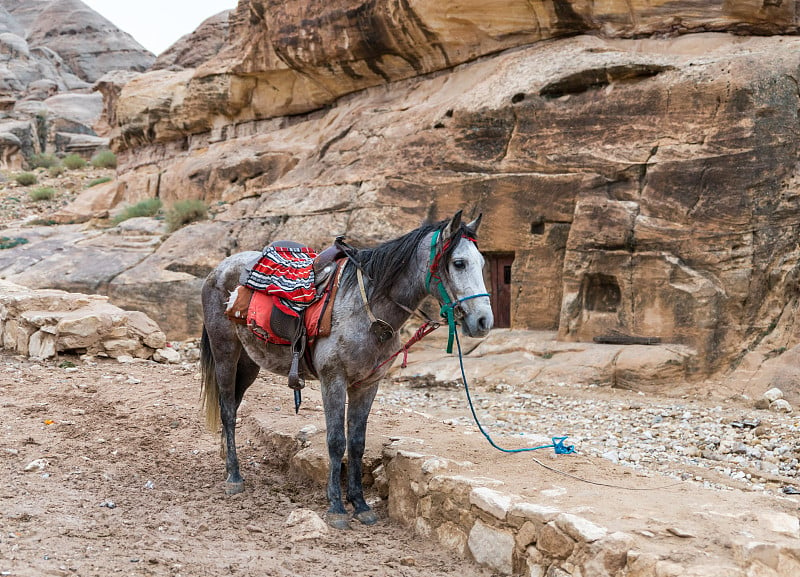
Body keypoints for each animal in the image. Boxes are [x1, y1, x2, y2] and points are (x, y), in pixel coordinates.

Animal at [198, 210, 494, 528]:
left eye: (483, 263)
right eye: (459, 263)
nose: (484, 321)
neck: (366, 311)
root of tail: (219, 270)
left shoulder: (367, 385)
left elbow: (356, 443)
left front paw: (360, 504)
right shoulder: (333, 380)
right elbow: (336, 441)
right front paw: (337, 507)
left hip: (249, 362)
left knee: (233, 404)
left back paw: (226, 460)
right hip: (225, 353)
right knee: (228, 410)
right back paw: (234, 476)